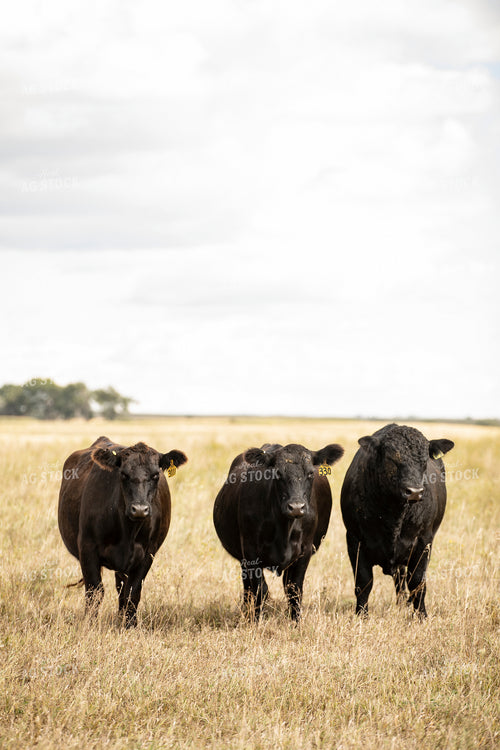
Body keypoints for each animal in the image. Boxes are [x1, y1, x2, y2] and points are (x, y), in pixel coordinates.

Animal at [58, 436, 187, 626]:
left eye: (156, 475)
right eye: (124, 474)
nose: (139, 509)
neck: (128, 532)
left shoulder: (147, 554)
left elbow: (132, 593)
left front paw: (129, 626)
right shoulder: (87, 548)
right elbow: (94, 591)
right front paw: (89, 625)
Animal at [213, 441, 344, 621]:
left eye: (311, 473)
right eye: (278, 473)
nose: (296, 507)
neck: (284, 528)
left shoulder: (305, 550)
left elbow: (294, 590)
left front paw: (295, 623)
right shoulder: (250, 551)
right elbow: (260, 590)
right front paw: (255, 622)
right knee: (248, 588)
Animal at [340, 423, 454, 617]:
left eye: (424, 460)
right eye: (391, 458)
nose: (414, 491)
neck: (395, 517)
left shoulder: (424, 541)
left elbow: (418, 583)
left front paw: (421, 616)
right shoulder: (355, 540)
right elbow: (363, 583)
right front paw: (361, 616)